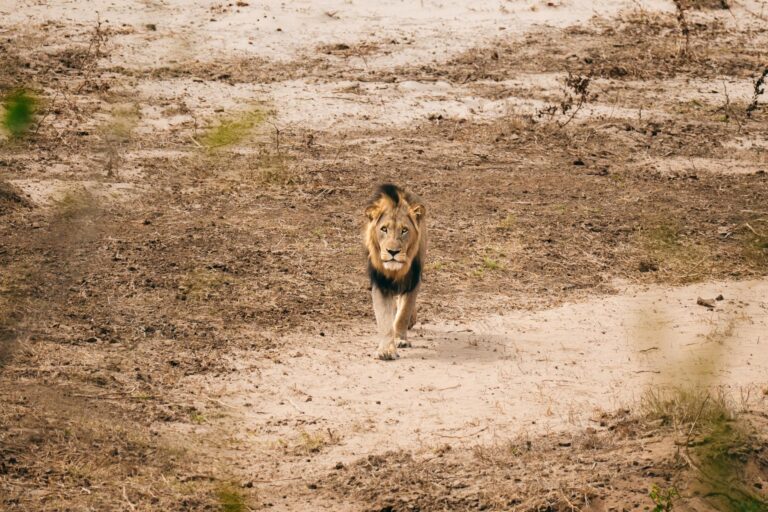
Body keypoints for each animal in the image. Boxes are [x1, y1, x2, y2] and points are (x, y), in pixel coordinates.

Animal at [364, 184, 426, 360]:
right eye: (384, 229)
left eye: (404, 230)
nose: (393, 251)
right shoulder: (381, 284)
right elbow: (384, 319)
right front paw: (386, 350)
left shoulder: (413, 281)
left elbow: (404, 313)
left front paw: (399, 339)